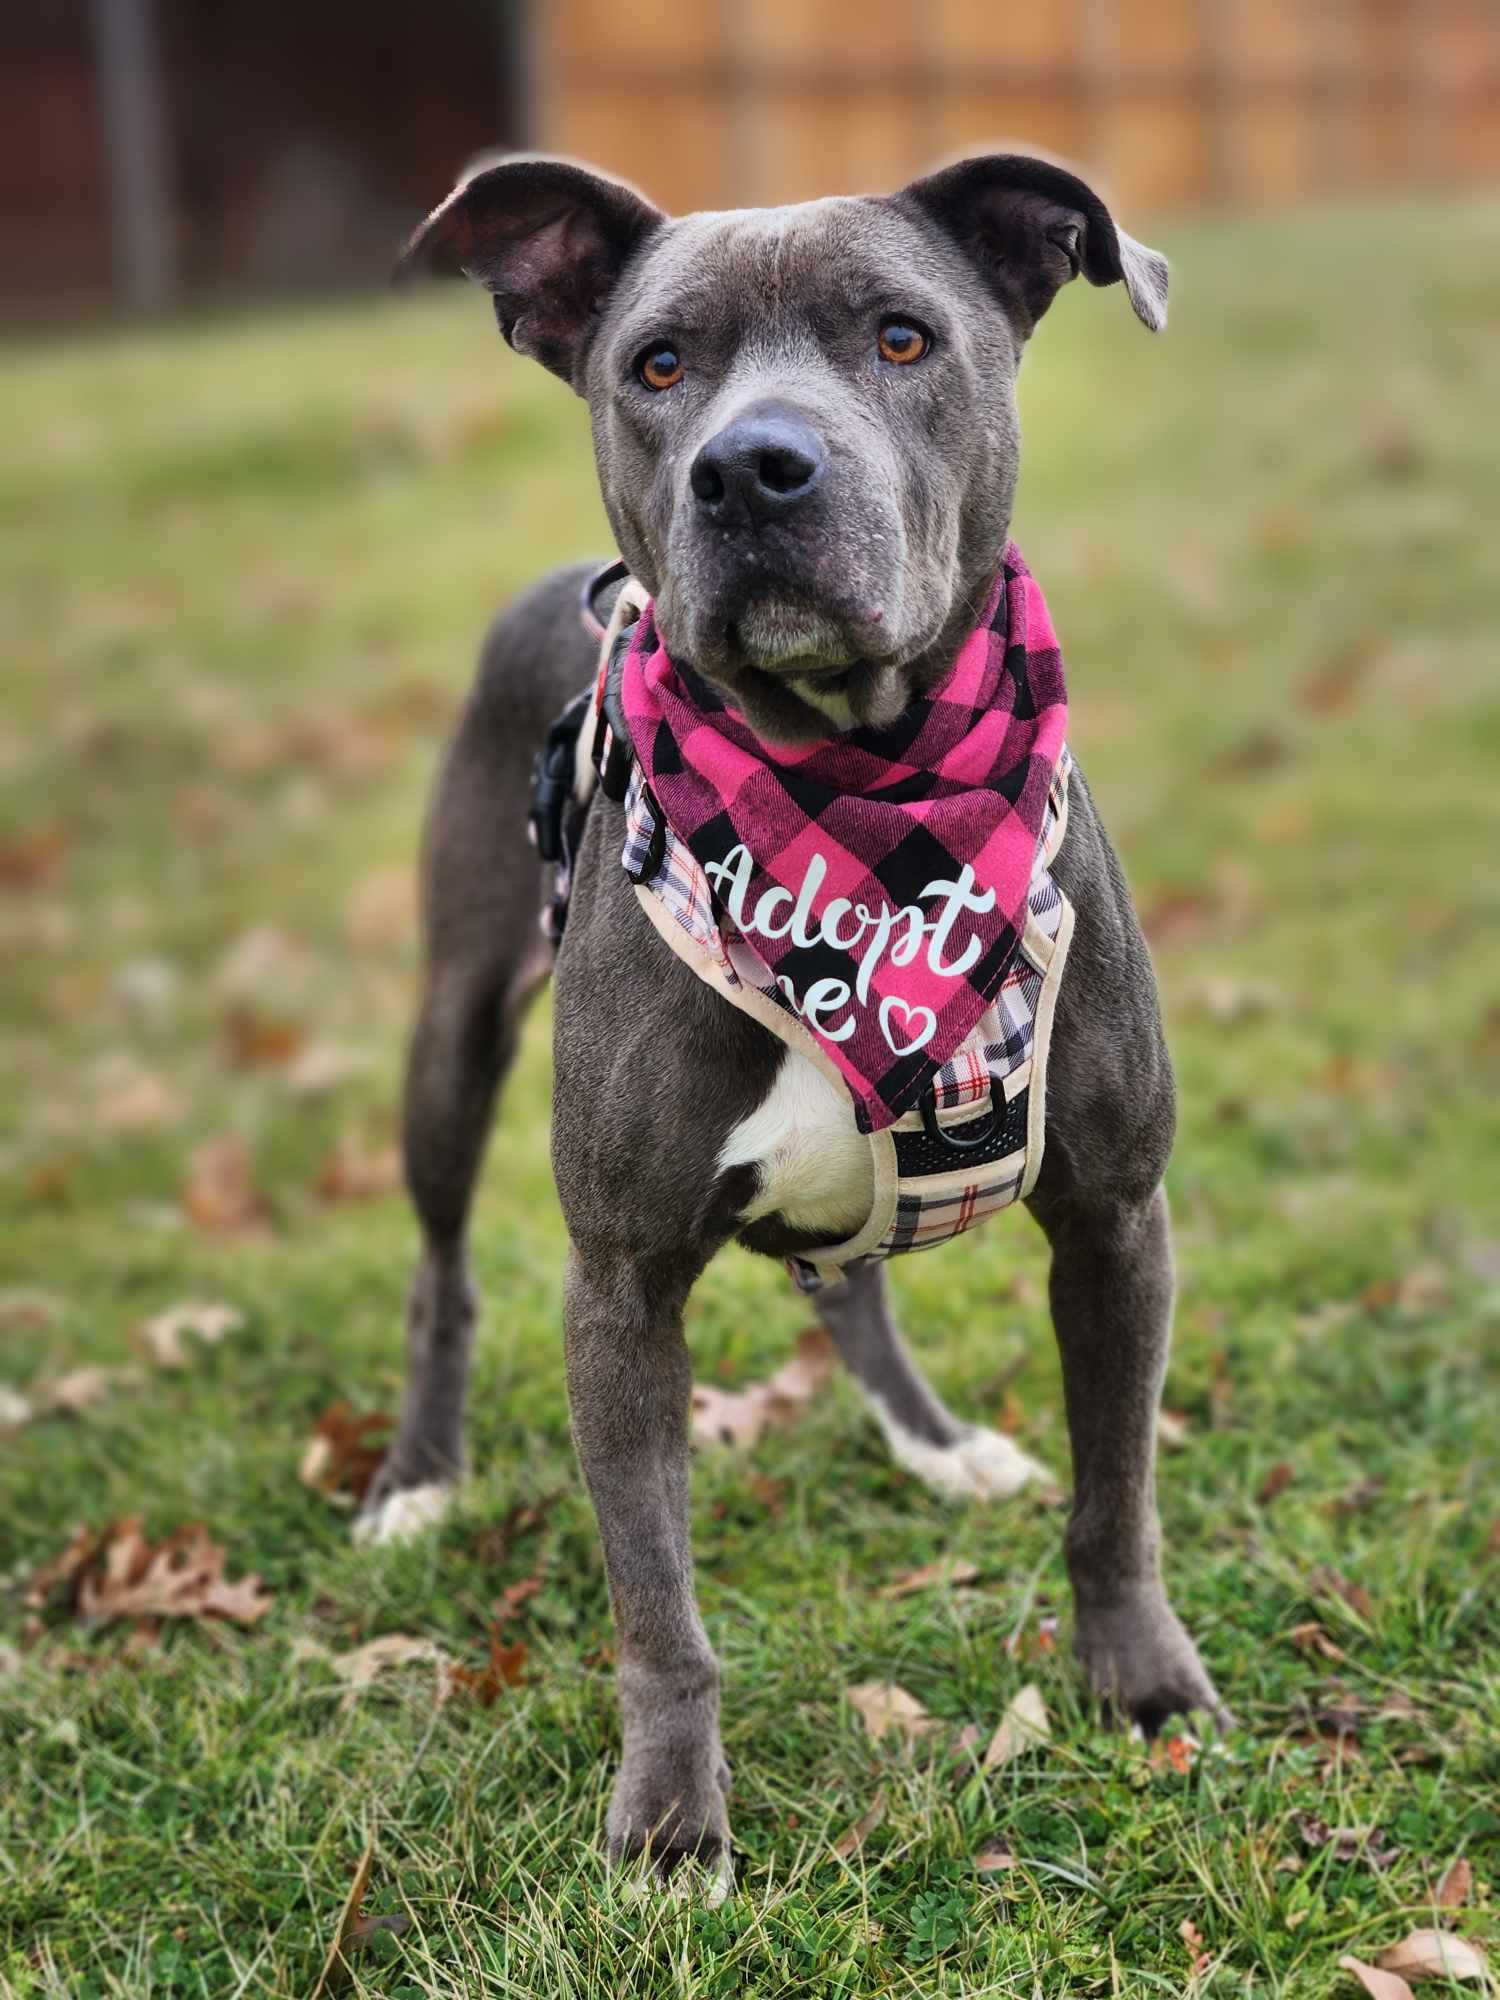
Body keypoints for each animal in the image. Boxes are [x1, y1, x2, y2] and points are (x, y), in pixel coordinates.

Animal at [374, 152, 1224, 1872]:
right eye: (656, 367)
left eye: (902, 338)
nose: (752, 470)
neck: (858, 785)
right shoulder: (621, 1286)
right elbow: (656, 1605)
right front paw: (669, 1822)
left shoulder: (1118, 1218)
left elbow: (1116, 1493)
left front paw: (1139, 1682)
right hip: (451, 1037)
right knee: (440, 1266)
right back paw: (419, 1477)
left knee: (855, 1290)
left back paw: (937, 1441)